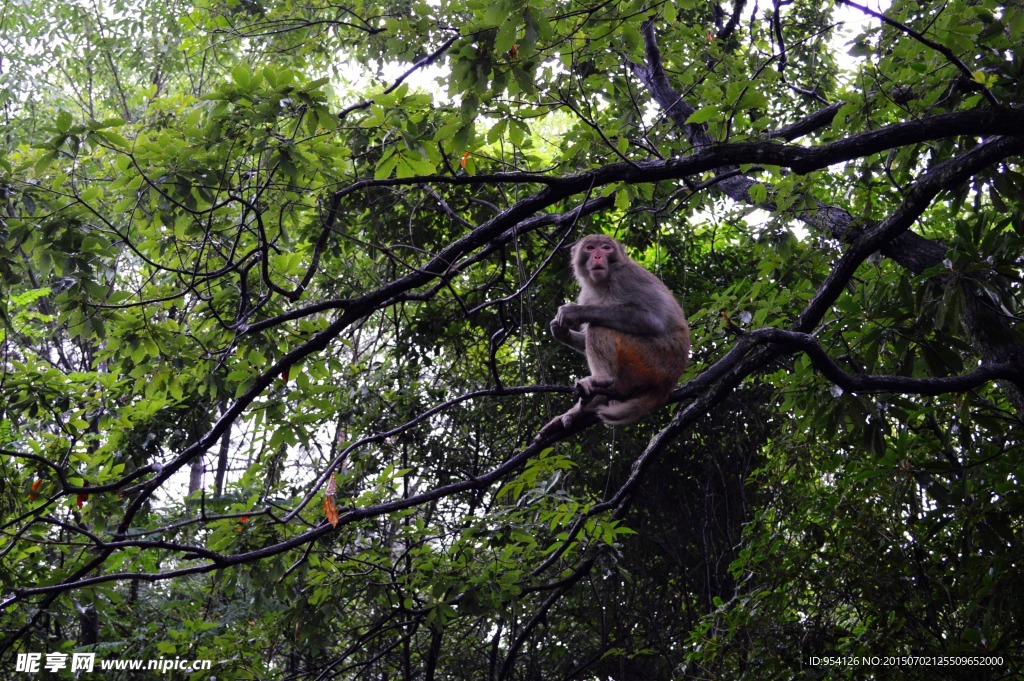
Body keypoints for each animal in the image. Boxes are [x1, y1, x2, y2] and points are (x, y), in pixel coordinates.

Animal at [536, 235, 688, 440]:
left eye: (606, 248)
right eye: (590, 248)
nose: (598, 256)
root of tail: (669, 382)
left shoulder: (627, 277)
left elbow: (653, 320)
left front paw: (574, 312)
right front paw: (561, 332)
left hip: (653, 360)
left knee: (599, 326)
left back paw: (601, 379)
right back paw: (582, 408)